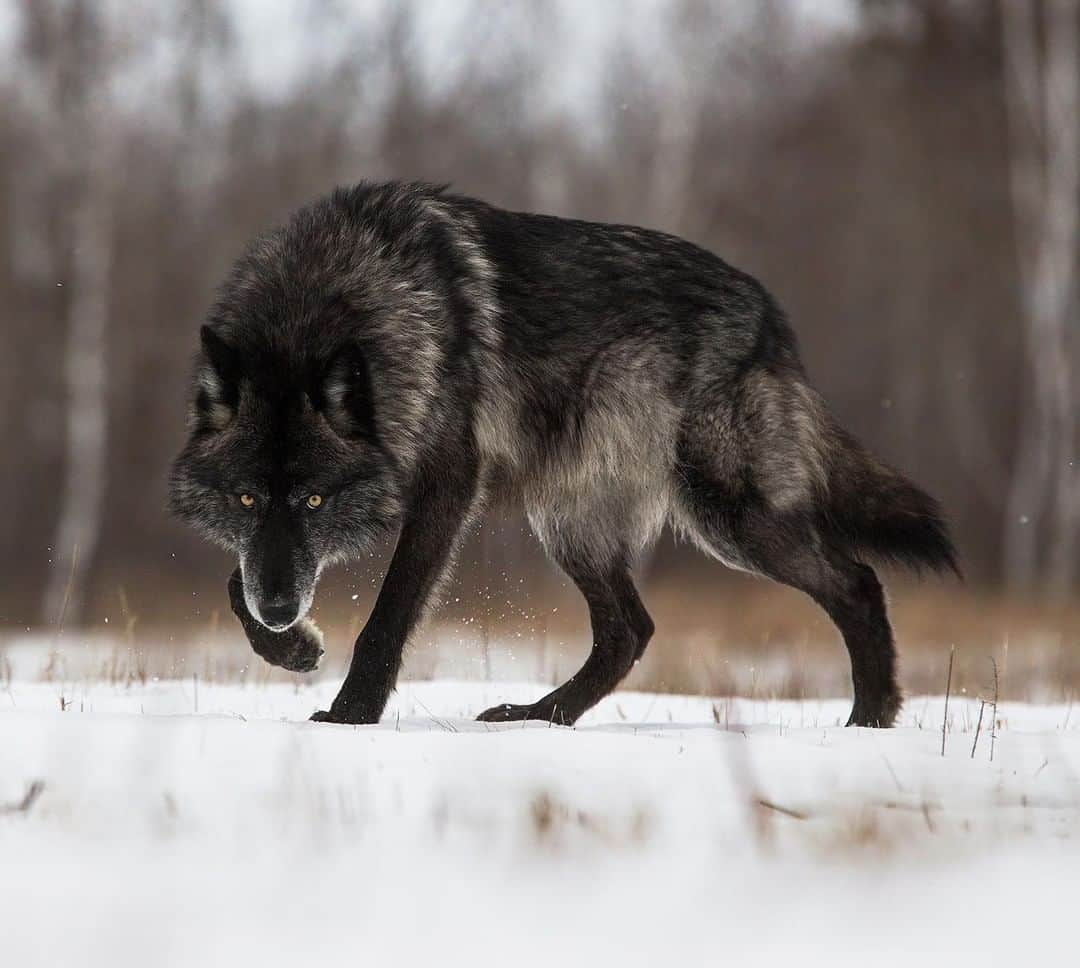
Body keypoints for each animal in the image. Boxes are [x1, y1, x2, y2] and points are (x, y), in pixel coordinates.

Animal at [172, 179, 959, 726]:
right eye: (247, 497)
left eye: (313, 499)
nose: (283, 610)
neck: (330, 301)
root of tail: (773, 317)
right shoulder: (273, 549)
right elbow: (234, 583)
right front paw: (291, 647)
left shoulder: (449, 488)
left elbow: (388, 617)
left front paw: (350, 717)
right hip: (571, 523)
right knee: (628, 632)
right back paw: (538, 717)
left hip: (729, 519)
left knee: (857, 582)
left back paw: (868, 721)